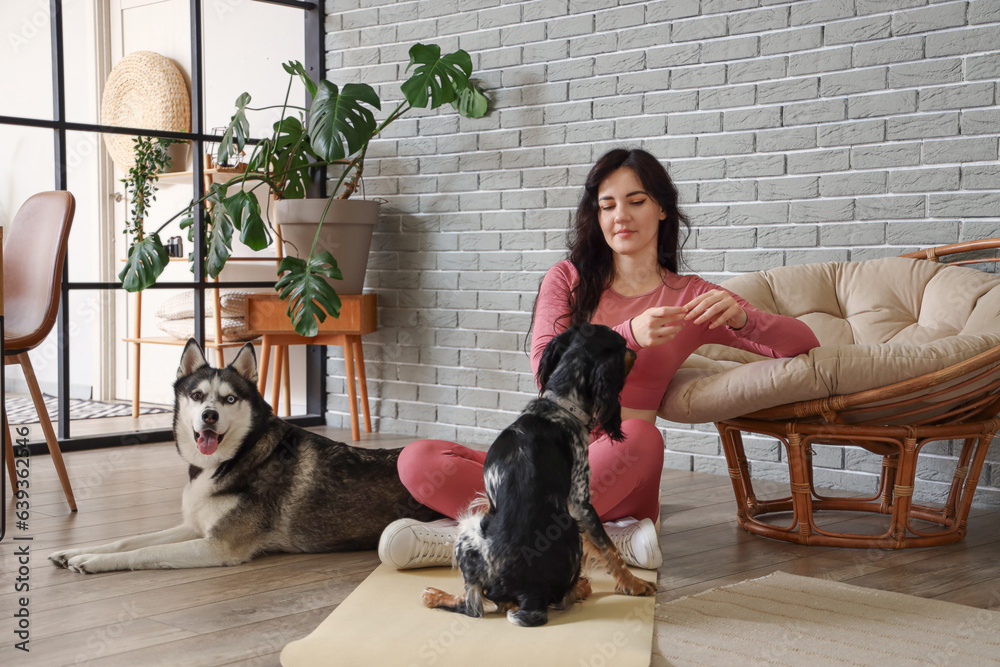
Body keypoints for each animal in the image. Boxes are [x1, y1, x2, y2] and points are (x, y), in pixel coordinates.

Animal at [47, 340, 438, 576]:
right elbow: (130, 540)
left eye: (230, 399)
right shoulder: (195, 527)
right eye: (197, 395)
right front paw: (76, 551)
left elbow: (140, 554)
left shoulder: (217, 546)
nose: (209, 415)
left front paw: (93, 561)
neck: (236, 457)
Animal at [422, 324, 656, 628]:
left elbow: (607, 546)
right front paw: (636, 584)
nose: (637, 352)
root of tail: (530, 595)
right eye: (622, 343)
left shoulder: (578, 502)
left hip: (469, 529)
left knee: (477, 604)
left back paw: (435, 595)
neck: (560, 407)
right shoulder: (580, 503)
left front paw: (634, 584)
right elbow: (608, 546)